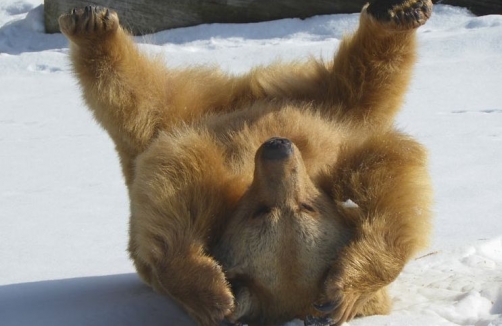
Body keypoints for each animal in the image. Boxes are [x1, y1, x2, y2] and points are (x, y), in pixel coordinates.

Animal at [58, 0, 434, 324]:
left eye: (307, 207)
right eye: (260, 212)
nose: (277, 146)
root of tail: (248, 94)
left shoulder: (337, 165)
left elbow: (390, 190)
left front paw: (345, 292)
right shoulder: (217, 184)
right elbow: (177, 186)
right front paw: (212, 295)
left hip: (335, 109)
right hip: (296, 106)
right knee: (137, 99)